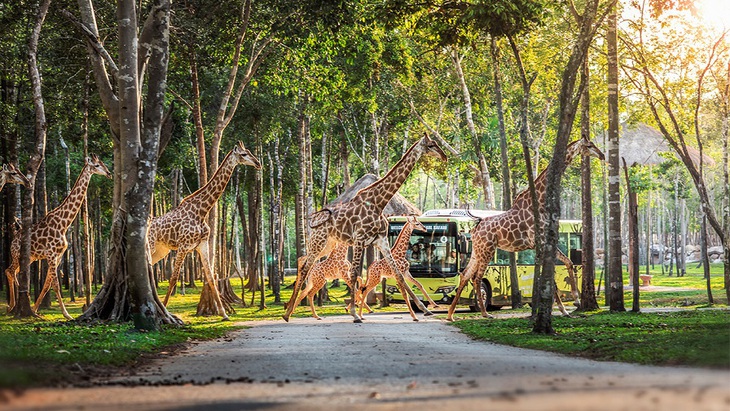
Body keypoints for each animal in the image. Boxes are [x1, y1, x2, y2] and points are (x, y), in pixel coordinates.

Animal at [4, 156, 111, 320]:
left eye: (103, 164)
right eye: (97, 165)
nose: (109, 173)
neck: (64, 223)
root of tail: (14, 239)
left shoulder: (58, 255)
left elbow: (47, 283)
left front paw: (35, 309)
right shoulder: (51, 254)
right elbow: (55, 283)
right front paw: (67, 314)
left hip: (30, 258)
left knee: (13, 272)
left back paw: (13, 306)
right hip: (17, 255)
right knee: (9, 271)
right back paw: (12, 306)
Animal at [146, 142, 260, 322]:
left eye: (249, 152)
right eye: (243, 154)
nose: (258, 163)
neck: (202, 211)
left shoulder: (202, 245)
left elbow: (211, 278)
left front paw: (224, 314)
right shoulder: (183, 246)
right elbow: (173, 279)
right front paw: (164, 309)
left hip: (162, 250)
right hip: (151, 245)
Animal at [282, 134, 446, 324]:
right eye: (431, 145)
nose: (444, 156)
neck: (378, 202)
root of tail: (313, 221)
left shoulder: (381, 240)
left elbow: (398, 274)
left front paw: (424, 310)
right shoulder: (360, 239)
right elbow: (354, 274)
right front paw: (354, 314)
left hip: (327, 245)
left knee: (304, 263)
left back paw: (289, 312)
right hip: (318, 241)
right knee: (304, 267)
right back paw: (287, 313)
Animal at [444, 137, 604, 324]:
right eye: (589, 145)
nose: (602, 155)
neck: (540, 202)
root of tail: (476, 227)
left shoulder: (543, 244)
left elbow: (568, 263)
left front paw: (570, 306)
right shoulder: (539, 243)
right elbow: (552, 278)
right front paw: (568, 305)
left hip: (477, 251)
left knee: (465, 275)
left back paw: (450, 314)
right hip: (487, 250)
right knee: (476, 278)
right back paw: (484, 313)